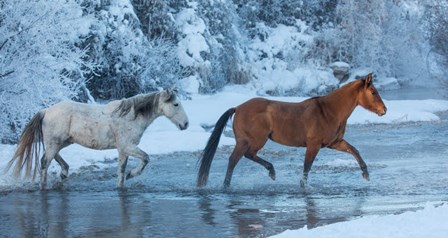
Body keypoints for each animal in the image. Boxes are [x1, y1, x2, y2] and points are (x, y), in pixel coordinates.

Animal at [7, 88, 189, 189]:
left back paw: (64, 174)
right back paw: (45, 186)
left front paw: (123, 182)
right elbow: (145, 158)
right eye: (175, 104)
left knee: (52, 156)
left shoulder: (123, 150)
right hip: (56, 142)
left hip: (63, 142)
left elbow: (121, 171)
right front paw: (132, 174)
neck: (130, 116)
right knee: (44, 162)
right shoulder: (127, 146)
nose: (186, 124)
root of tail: (46, 111)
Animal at [198, 73, 386, 189]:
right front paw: (303, 186)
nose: (384, 110)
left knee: (241, 158)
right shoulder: (313, 145)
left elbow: (354, 150)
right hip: (253, 141)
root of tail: (237, 108)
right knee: (237, 158)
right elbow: (307, 167)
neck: (329, 111)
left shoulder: (334, 143)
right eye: (373, 92)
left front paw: (366, 174)